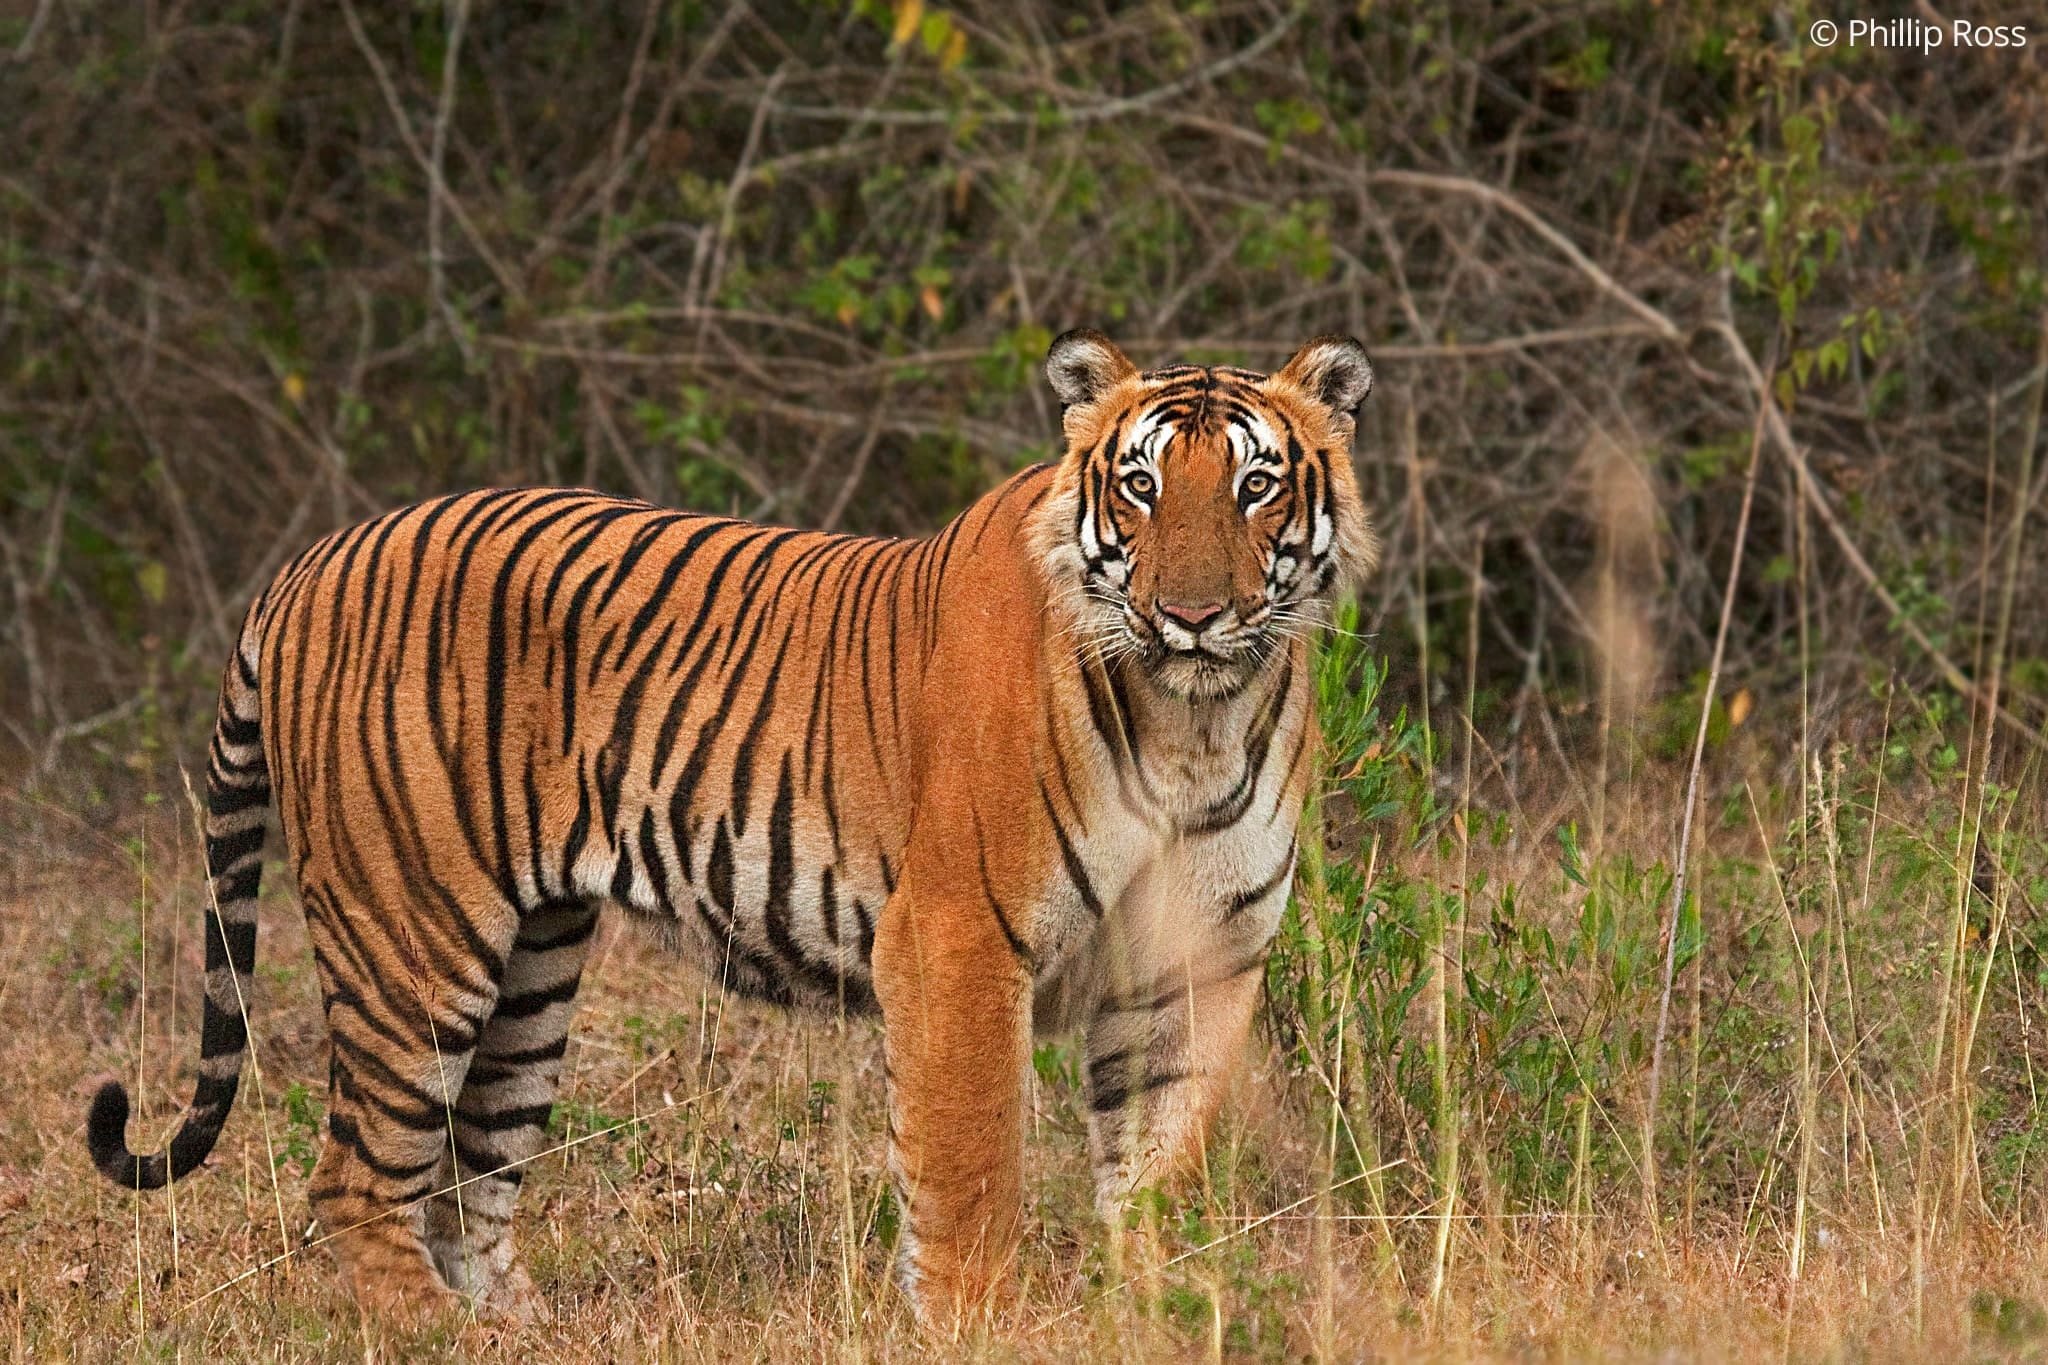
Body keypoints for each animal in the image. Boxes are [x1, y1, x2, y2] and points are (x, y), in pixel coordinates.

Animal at [84, 330, 1378, 1326]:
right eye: (1142, 487)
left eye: (1255, 487)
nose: (1191, 614)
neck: (1191, 721)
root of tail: (311, 558)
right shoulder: (958, 939)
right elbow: (970, 1169)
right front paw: (984, 1325)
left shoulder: (1195, 964)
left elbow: (1157, 1177)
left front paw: (1161, 1308)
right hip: (411, 934)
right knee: (359, 1179)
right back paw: (432, 1337)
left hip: (532, 970)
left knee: (468, 1181)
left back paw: (521, 1336)